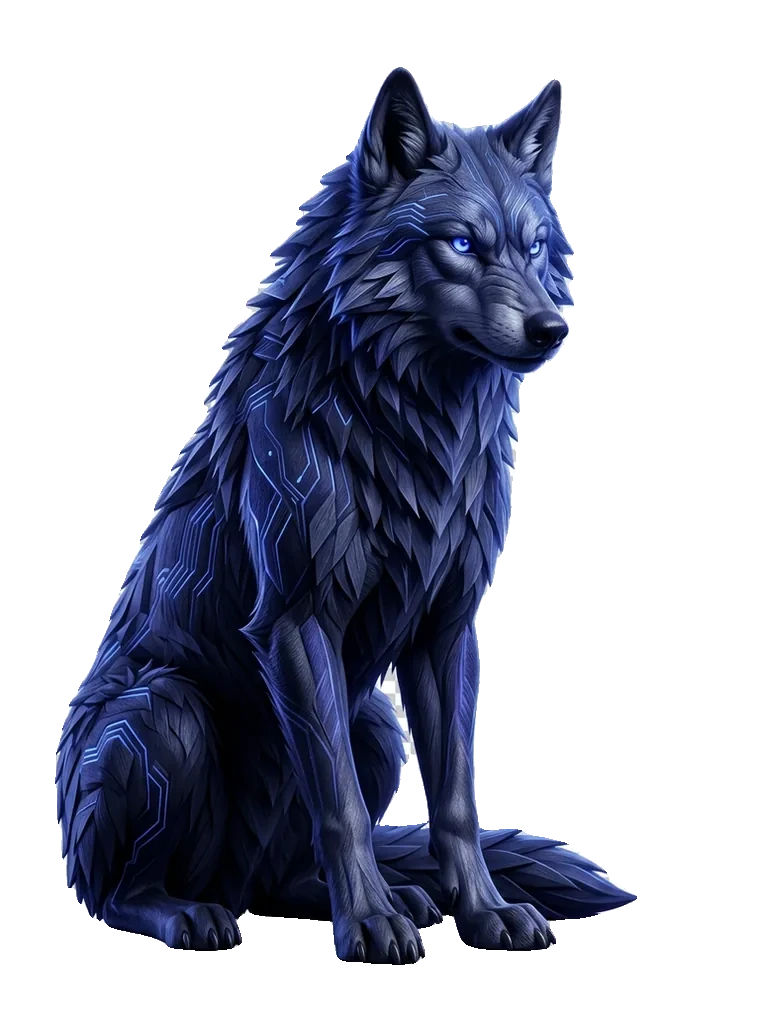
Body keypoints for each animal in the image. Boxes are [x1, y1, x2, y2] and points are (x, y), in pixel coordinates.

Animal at [57, 71, 635, 962]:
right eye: (461, 243)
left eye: (535, 246)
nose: (551, 327)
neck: (404, 417)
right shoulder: (296, 622)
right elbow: (341, 808)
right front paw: (367, 924)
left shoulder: (447, 625)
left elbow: (456, 800)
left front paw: (485, 913)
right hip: (163, 714)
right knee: (119, 890)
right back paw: (194, 915)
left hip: (374, 722)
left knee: (287, 875)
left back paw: (391, 895)